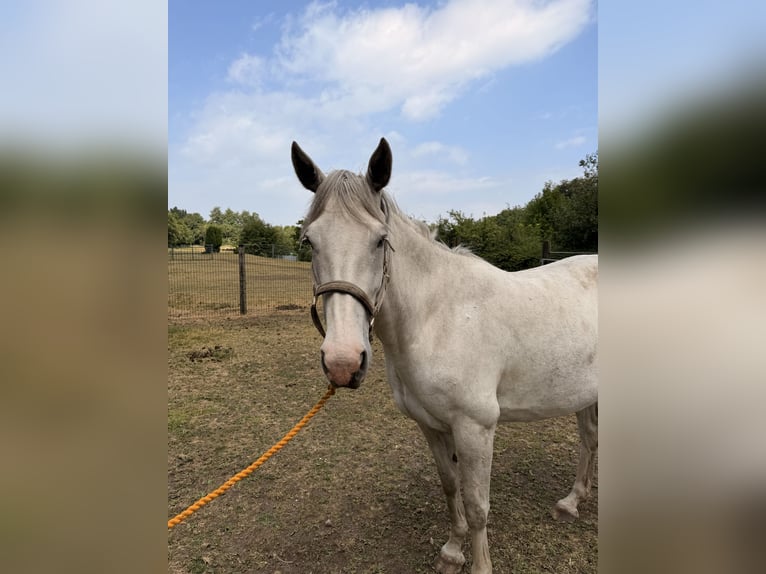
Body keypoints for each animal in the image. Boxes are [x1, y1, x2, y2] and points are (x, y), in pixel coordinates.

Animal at [290, 138, 598, 574]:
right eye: (309, 242)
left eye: (380, 240)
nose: (343, 362)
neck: (437, 317)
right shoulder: (431, 425)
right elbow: (450, 486)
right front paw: (452, 552)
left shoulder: (476, 427)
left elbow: (477, 503)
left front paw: (480, 565)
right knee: (589, 439)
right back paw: (572, 502)